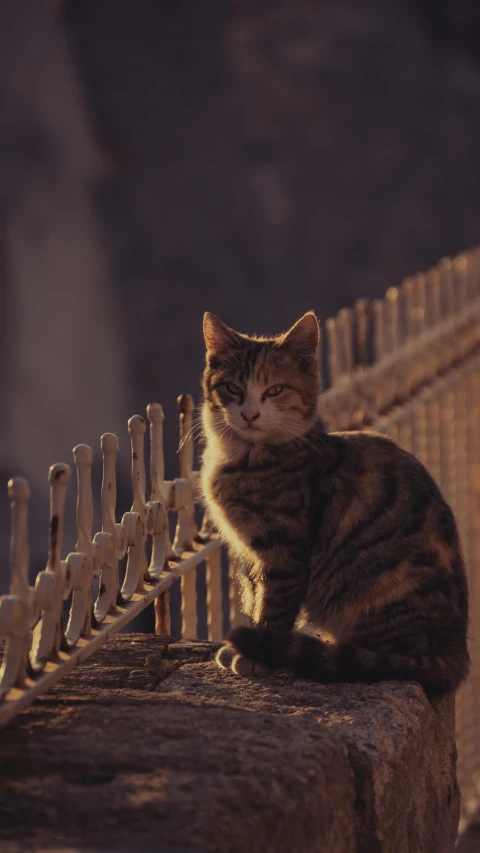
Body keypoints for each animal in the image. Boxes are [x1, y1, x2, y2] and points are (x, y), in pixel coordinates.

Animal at [201, 310, 470, 696]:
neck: (244, 456)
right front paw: (244, 643)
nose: (250, 415)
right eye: (233, 388)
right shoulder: (247, 551)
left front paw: (258, 653)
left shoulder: (285, 549)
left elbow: (274, 604)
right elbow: (253, 594)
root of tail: (456, 652)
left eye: (275, 390)